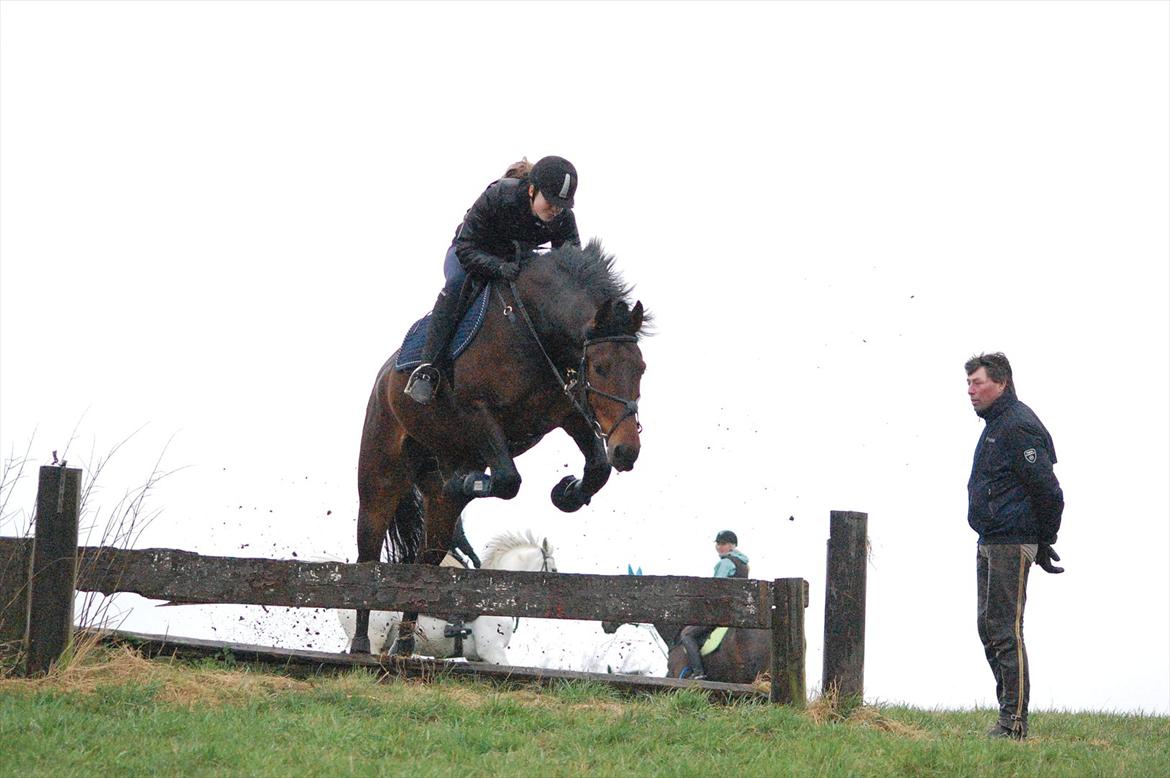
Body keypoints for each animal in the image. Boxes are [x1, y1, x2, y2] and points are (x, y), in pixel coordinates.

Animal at [353, 239, 650, 650]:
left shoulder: (568, 411)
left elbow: (597, 469)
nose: (627, 450)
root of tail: (383, 378)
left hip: (438, 507)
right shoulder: (478, 410)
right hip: (381, 476)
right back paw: (360, 643)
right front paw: (471, 480)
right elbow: (509, 479)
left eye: (641, 368)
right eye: (601, 367)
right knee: (368, 552)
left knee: (425, 558)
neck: (537, 328)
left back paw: (407, 644)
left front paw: (567, 492)